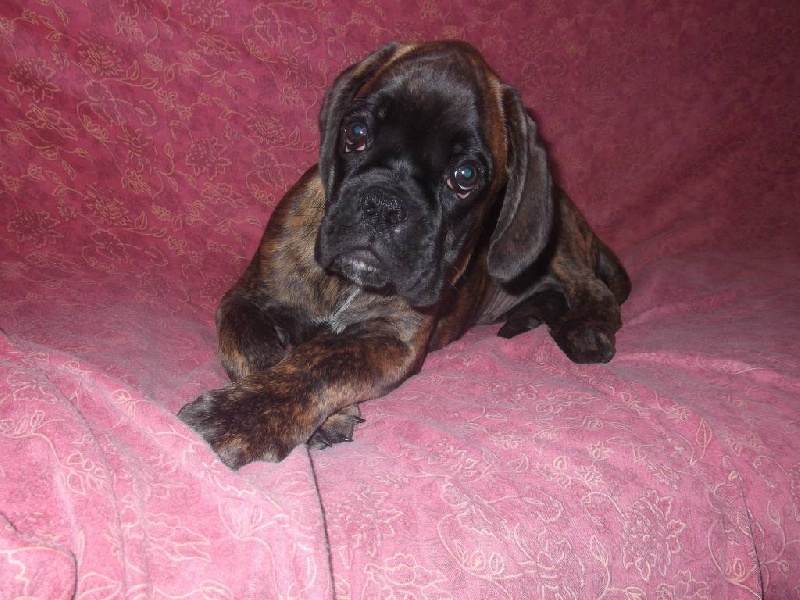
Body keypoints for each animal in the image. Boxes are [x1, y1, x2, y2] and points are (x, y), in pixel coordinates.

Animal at [178, 41, 631, 469]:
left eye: (466, 175)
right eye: (356, 131)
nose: (383, 205)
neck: (348, 283)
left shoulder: (392, 340)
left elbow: (321, 362)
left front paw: (240, 418)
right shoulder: (246, 299)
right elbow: (253, 347)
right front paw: (278, 407)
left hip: (555, 247)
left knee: (594, 289)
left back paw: (585, 330)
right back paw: (530, 318)